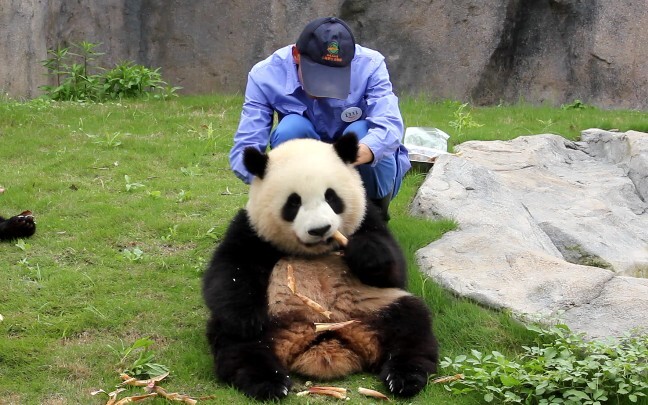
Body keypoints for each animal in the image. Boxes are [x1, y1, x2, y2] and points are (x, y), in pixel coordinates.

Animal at [202, 134, 440, 400]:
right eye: (293, 203)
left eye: (331, 197)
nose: (320, 229)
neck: (315, 250)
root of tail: (328, 340)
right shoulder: (252, 231)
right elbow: (229, 270)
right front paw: (246, 320)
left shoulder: (368, 219)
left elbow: (395, 271)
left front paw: (365, 253)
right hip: (274, 317)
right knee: (239, 345)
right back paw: (268, 382)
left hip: (377, 307)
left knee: (411, 326)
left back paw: (404, 378)